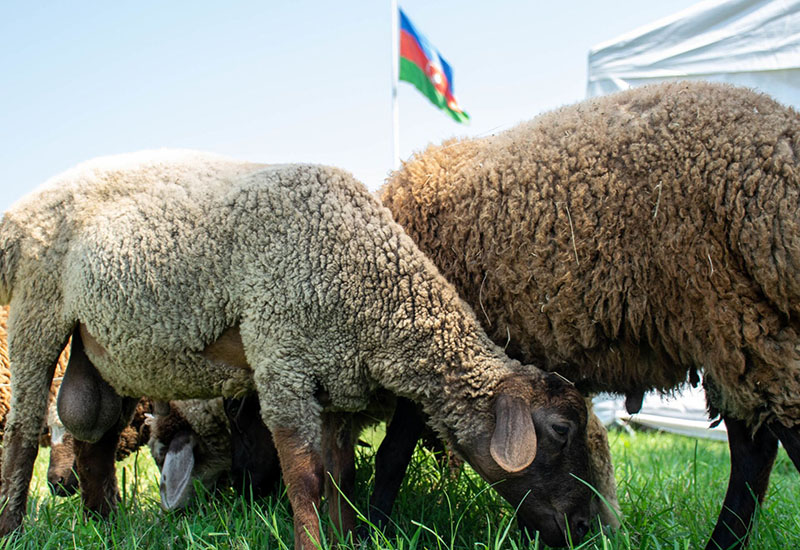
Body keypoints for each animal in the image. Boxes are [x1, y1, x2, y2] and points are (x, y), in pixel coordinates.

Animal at [0, 152, 592, 550]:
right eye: (561, 431)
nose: (586, 527)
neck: (372, 280)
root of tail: (22, 212)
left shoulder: (335, 383)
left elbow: (340, 477)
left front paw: (347, 538)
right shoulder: (281, 359)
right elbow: (305, 478)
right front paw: (314, 541)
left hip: (105, 347)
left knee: (92, 432)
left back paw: (106, 526)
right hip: (36, 311)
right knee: (23, 433)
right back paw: (13, 526)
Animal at [380, 78, 800, 550]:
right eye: (563, 431)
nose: (581, 529)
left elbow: (393, 451)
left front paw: (373, 525)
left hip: (737, 316)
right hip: (738, 331)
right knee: (754, 446)